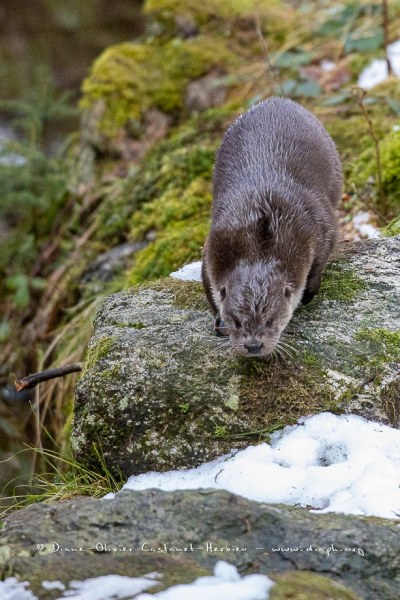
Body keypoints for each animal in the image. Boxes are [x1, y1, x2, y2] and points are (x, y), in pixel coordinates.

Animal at [202, 95, 342, 354]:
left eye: (270, 320)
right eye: (236, 321)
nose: (253, 345)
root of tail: (276, 99)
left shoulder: (319, 226)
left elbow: (319, 261)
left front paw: (308, 293)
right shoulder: (214, 244)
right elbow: (209, 284)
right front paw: (218, 320)